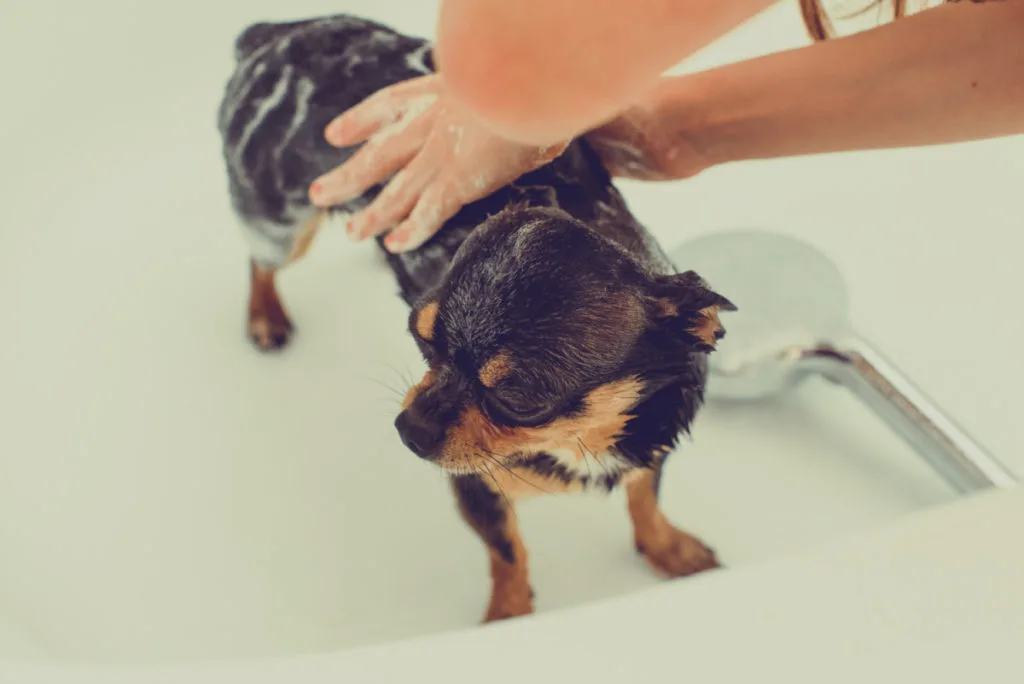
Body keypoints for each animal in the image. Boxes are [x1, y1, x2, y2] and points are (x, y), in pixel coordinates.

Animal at [220, 14, 737, 626]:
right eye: (421, 342)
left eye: (519, 399)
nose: (409, 430)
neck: (581, 439)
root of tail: (275, 36)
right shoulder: (478, 489)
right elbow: (508, 550)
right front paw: (508, 615)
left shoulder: (648, 444)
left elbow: (644, 498)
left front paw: (667, 548)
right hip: (280, 222)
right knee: (260, 262)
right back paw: (265, 316)